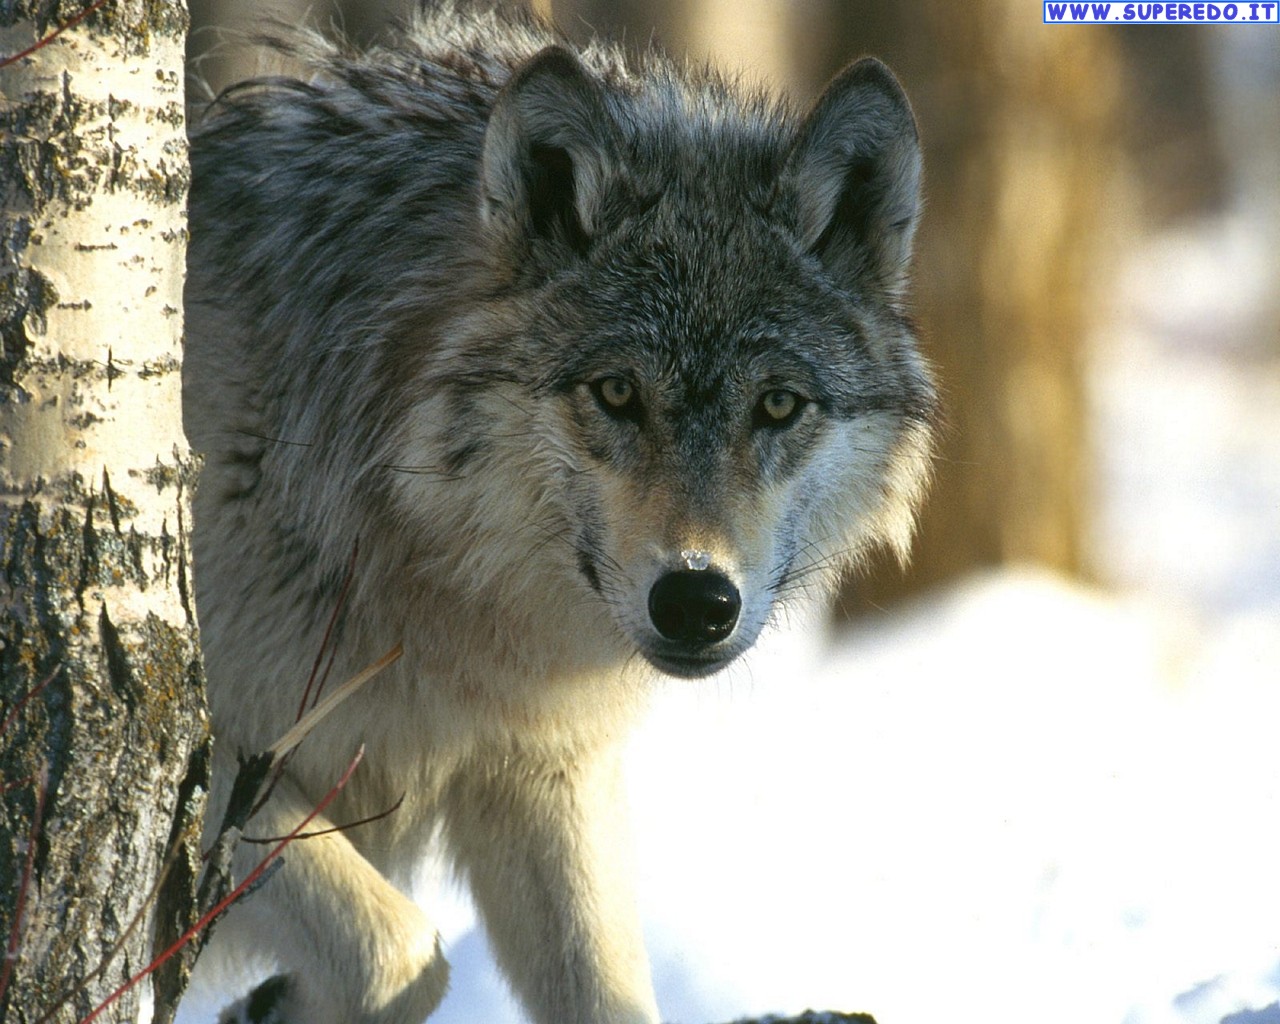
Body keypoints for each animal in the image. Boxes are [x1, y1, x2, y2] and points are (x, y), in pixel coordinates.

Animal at [180, 2, 936, 1024]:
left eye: (777, 405)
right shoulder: (215, 751)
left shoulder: (546, 776)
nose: (696, 602)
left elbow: (605, 994)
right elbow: (398, 953)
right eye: (617, 392)